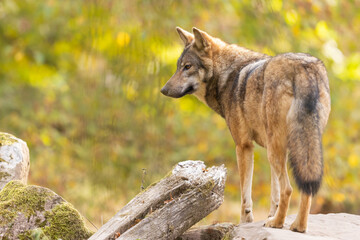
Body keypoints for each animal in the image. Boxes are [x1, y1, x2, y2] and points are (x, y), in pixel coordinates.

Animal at [162, 26, 330, 232]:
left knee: (288, 189)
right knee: (306, 189)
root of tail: (304, 68)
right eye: (178, 66)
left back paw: (277, 223)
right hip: (301, 147)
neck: (227, 77)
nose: (163, 90)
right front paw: (270, 215)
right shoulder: (271, 148)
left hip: (277, 150)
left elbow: (245, 195)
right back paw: (297, 226)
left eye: (187, 67)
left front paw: (245, 222)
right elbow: (274, 194)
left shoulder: (243, 146)